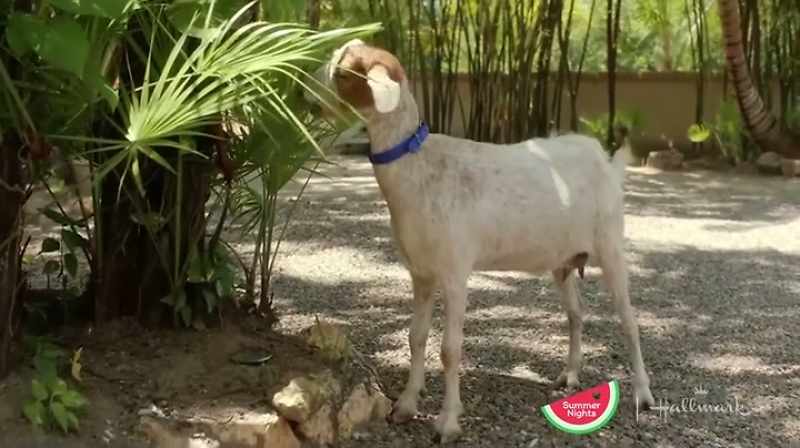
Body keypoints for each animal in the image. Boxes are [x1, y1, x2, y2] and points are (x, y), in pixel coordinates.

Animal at [316, 40, 655, 443]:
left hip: (610, 243)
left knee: (629, 322)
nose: (306, 100)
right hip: (564, 259)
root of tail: (604, 159)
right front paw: (406, 407)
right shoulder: (421, 273)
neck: (418, 167)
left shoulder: (455, 271)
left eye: (344, 73)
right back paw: (570, 375)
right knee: (576, 313)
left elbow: (449, 349)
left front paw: (447, 423)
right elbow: (416, 337)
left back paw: (643, 394)